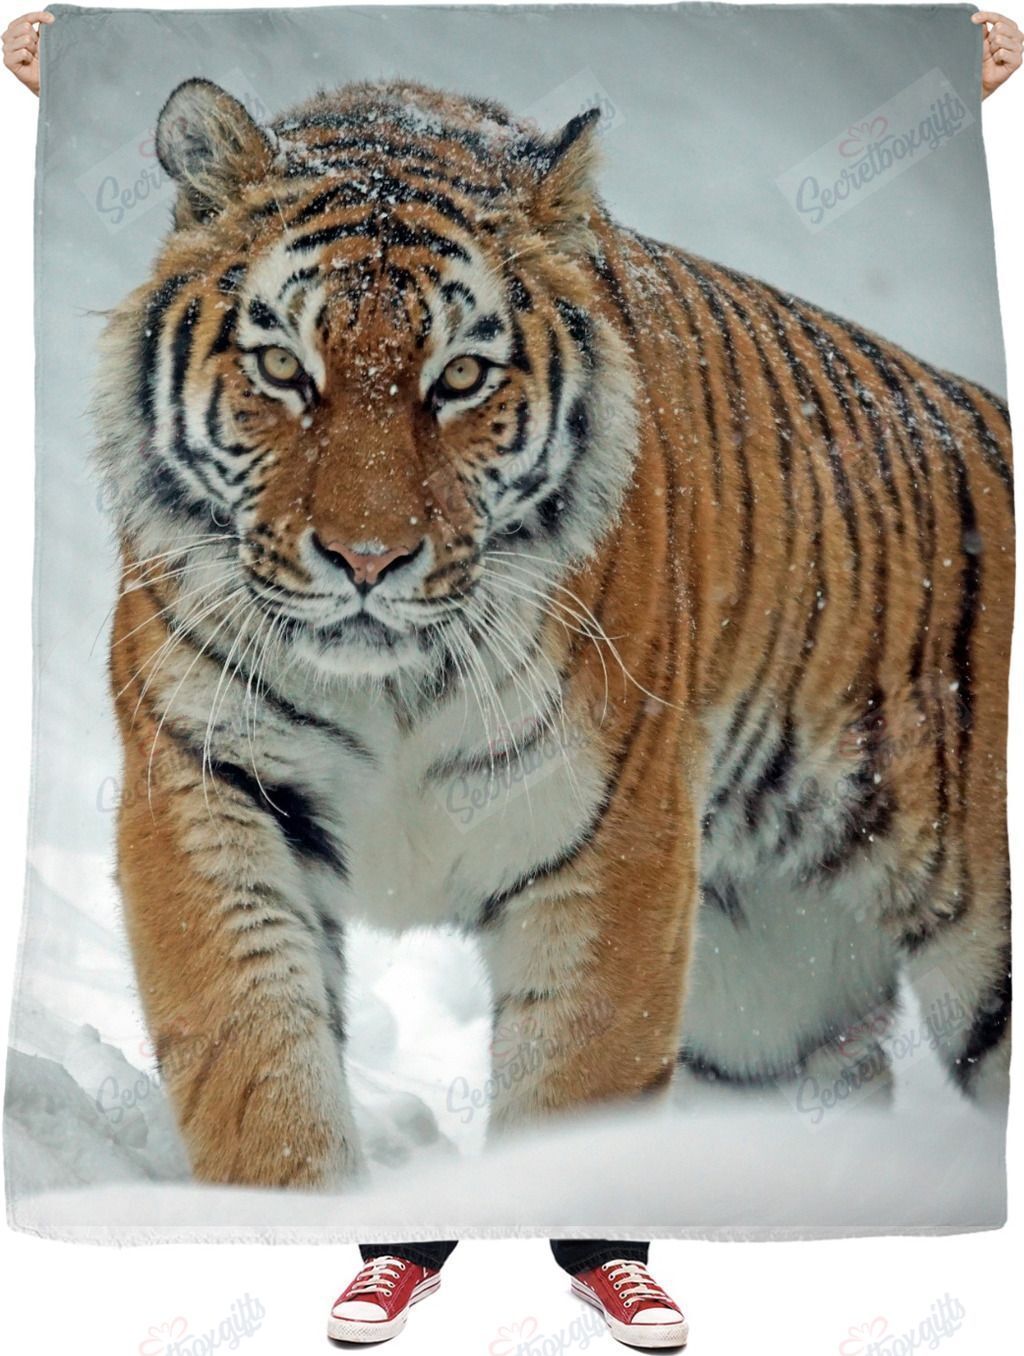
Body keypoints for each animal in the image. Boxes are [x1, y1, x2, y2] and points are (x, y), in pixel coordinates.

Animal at [93, 77, 1013, 1188]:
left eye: (458, 379)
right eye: (281, 366)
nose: (367, 559)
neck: (392, 688)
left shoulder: (612, 849)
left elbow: (571, 1101)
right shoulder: (205, 783)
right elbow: (257, 1067)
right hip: (769, 1003)